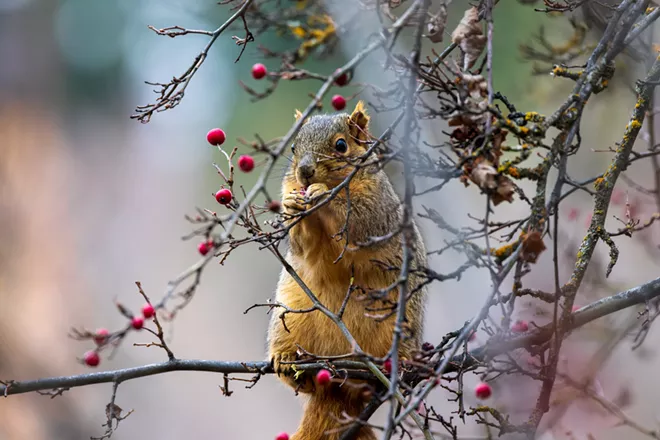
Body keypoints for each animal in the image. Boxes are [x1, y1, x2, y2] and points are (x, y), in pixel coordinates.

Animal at [266, 100, 428, 440]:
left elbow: (358, 221)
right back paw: (288, 362)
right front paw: (292, 205)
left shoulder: (378, 207)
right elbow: (302, 245)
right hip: (290, 316)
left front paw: (323, 196)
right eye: (294, 147)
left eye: (341, 146)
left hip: (401, 320)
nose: (304, 173)